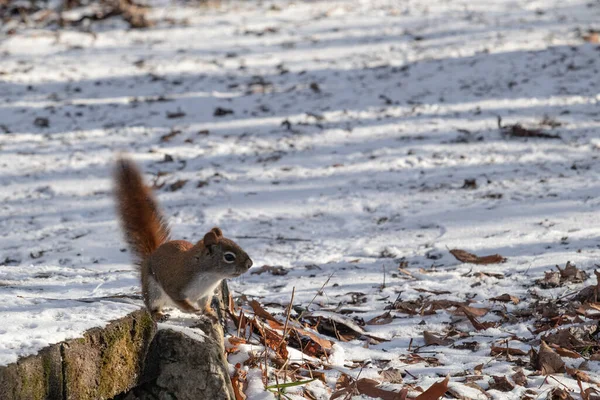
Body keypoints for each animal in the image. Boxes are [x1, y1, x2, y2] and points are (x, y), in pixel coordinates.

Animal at [113, 156, 252, 322]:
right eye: (229, 257)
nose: (250, 264)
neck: (209, 276)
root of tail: (151, 256)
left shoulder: (206, 295)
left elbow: (205, 306)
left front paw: (210, 313)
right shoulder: (174, 283)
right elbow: (179, 300)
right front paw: (191, 309)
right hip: (153, 292)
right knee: (152, 306)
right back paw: (158, 314)